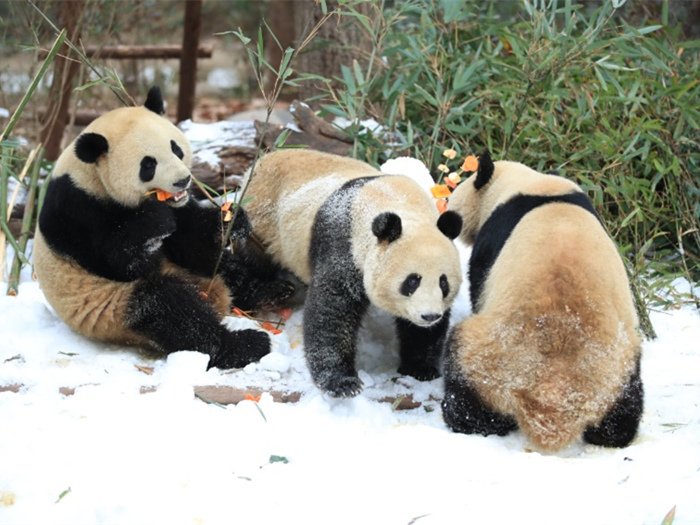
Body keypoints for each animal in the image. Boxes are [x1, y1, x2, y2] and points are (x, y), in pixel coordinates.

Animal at [32, 86, 294, 368]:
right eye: (148, 164)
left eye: (175, 148)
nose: (183, 180)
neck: (90, 175)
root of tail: (213, 295)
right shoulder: (75, 211)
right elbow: (121, 262)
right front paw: (155, 222)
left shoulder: (179, 208)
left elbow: (188, 240)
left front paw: (231, 219)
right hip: (112, 308)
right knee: (169, 310)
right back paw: (244, 344)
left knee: (221, 266)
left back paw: (269, 291)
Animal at [242, 148, 464, 398]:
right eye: (412, 282)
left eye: (444, 283)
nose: (429, 316)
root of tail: (264, 158)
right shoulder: (344, 245)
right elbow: (332, 311)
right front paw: (342, 383)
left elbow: (423, 334)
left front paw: (421, 368)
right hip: (262, 218)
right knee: (251, 260)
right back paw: (269, 291)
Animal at [442, 150, 644, 450]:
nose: (448, 210)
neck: (530, 184)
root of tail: (551, 399)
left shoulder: (491, 242)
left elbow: (478, 282)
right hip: (617, 370)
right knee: (622, 413)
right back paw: (612, 434)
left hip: (491, 358)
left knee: (464, 375)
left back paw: (466, 418)